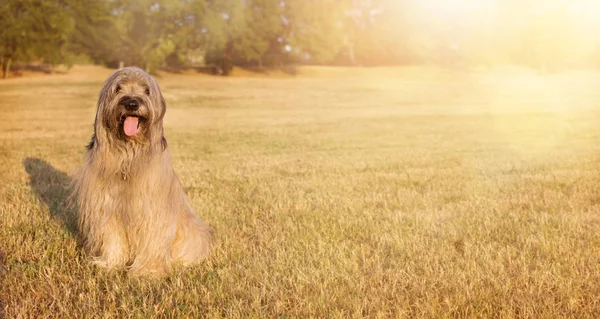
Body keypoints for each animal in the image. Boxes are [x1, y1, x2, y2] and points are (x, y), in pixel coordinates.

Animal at [71, 67, 213, 276]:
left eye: (146, 90)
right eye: (118, 88)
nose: (131, 103)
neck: (129, 156)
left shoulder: (153, 210)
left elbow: (152, 240)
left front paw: (148, 271)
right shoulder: (108, 207)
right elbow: (113, 238)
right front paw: (110, 264)